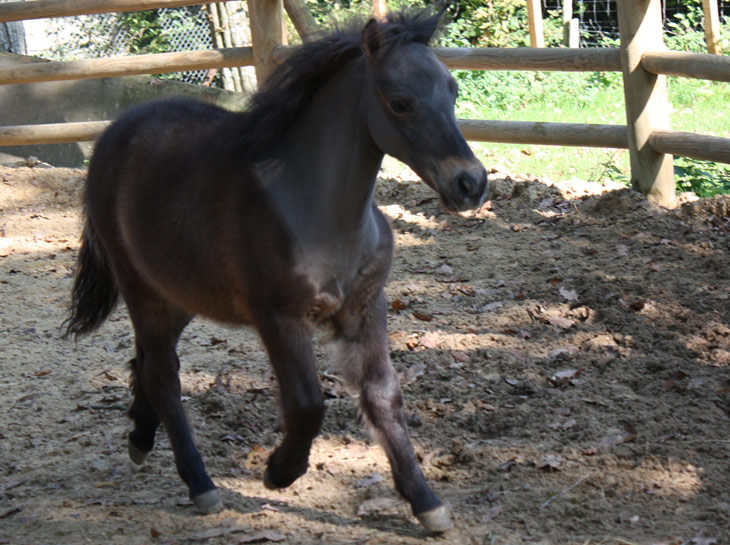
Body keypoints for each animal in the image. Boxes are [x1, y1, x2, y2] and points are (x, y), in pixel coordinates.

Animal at [65, 9, 486, 532]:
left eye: (452, 90)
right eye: (399, 102)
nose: (470, 183)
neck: (319, 213)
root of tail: (114, 132)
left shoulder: (366, 309)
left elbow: (384, 396)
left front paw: (425, 500)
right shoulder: (279, 317)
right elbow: (307, 404)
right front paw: (279, 472)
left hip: (178, 293)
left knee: (147, 361)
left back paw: (141, 438)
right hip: (141, 289)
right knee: (163, 375)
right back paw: (200, 485)